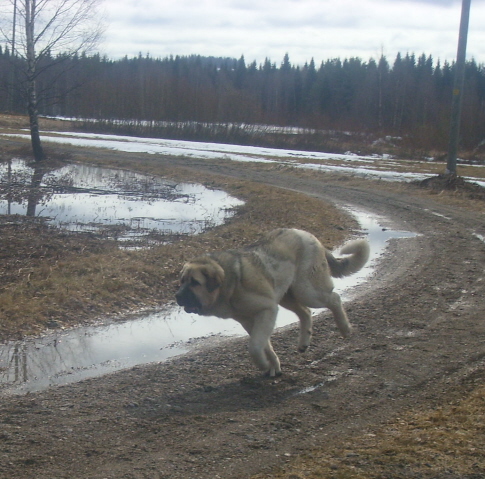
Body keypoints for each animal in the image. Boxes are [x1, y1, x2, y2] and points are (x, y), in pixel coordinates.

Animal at [176, 230, 368, 378]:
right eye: (182, 281)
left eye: (195, 282)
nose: (177, 296)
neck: (230, 283)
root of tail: (307, 234)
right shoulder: (249, 320)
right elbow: (264, 345)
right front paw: (273, 367)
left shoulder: (267, 310)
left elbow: (255, 346)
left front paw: (262, 365)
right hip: (287, 296)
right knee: (305, 312)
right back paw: (304, 342)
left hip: (306, 291)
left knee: (334, 298)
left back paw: (345, 328)